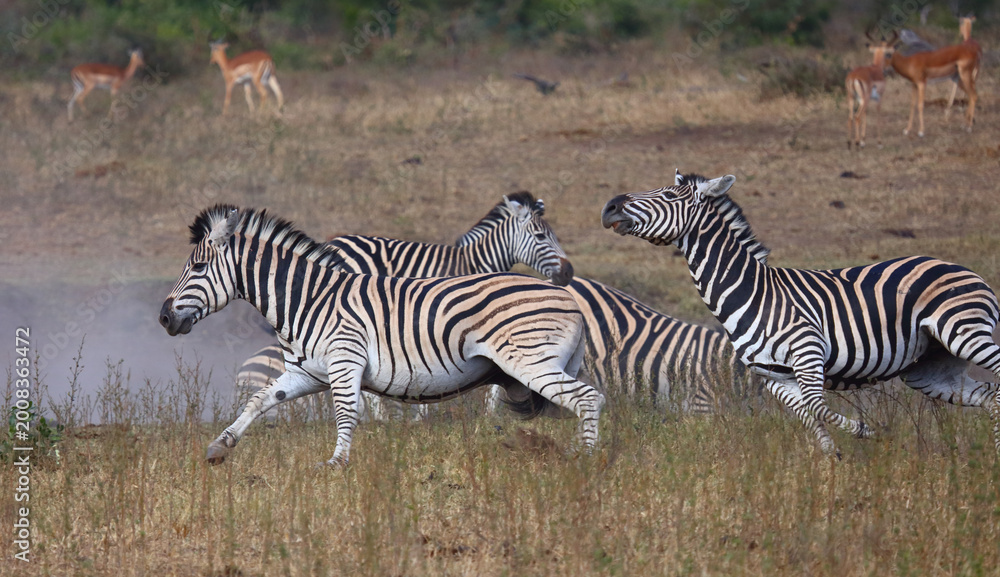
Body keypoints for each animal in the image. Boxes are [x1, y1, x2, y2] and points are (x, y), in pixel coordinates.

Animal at [601, 170, 1000, 456]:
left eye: (668, 196)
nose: (609, 207)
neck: (753, 293)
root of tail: (963, 268)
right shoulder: (774, 377)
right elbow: (812, 423)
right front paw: (830, 474)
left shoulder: (808, 353)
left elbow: (819, 409)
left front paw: (869, 431)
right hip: (930, 370)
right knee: (990, 396)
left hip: (965, 333)